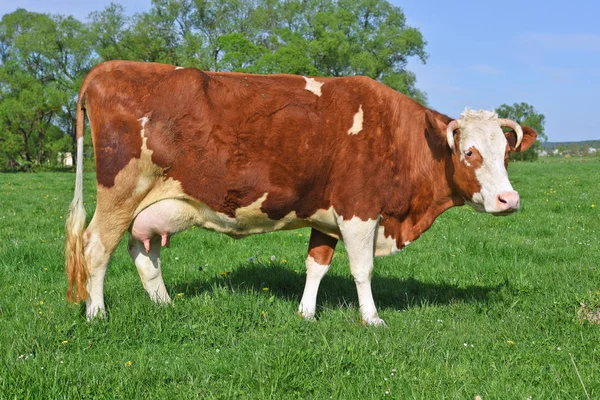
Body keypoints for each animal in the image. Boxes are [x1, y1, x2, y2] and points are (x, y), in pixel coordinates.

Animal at [65, 61, 540, 324]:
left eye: (506, 153)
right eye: (469, 152)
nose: (509, 200)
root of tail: (107, 68)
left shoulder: (326, 217)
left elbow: (317, 266)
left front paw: (306, 313)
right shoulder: (359, 211)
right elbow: (362, 270)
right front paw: (372, 319)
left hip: (149, 207)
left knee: (143, 253)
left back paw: (165, 305)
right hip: (119, 194)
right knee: (96, 248)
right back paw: (97, 314)